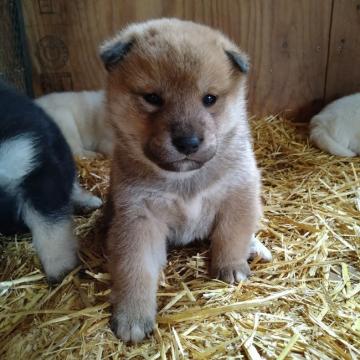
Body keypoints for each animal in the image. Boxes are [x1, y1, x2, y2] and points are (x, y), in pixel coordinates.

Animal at [100, 17, 272, 344]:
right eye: (152, 98)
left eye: (209, 99)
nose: (188, 142)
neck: (185, 179)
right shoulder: (138, 218)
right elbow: (135, 268)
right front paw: (133, 315)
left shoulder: (238, 192)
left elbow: (232, 234)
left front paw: (231, 266)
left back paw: (255, 247)